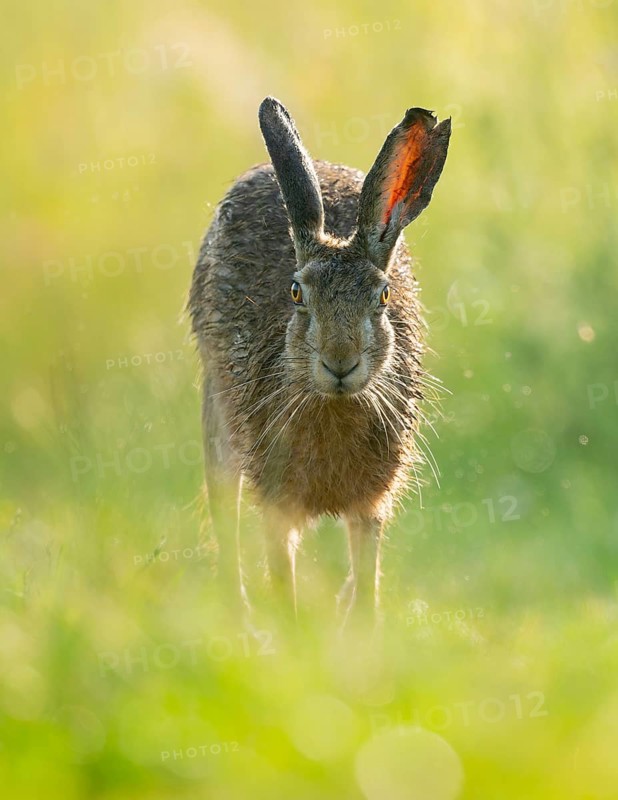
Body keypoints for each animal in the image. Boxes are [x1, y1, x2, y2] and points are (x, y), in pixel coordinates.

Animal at [188, 96, 451, 621]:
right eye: (296, 293)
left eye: (383, 296)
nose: (339, 362)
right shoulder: (276, 499)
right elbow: (280, 576)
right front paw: (292, 633)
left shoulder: (371, 505)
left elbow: (367, 575)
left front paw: (361, 627)